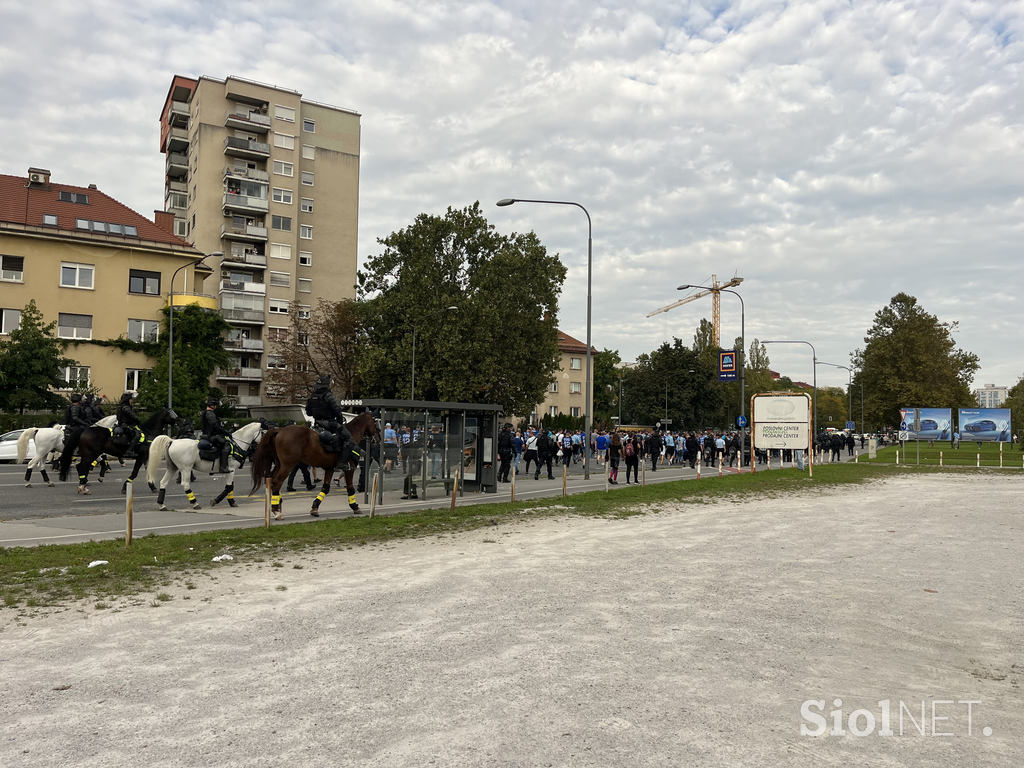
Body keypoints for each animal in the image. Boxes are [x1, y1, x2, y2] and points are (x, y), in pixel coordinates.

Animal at [249, 411, 378, 520]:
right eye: (376, 423)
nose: (377, 439)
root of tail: (280, 430)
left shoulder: (330, 468)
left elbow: (325, 488)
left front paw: (315, 508)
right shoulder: (350, 468)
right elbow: (350, 488)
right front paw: (355, 506)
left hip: (279, 464)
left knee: (271, 480)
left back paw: (276, 506)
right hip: (287, 465)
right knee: (277, 482)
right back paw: (277, 511)